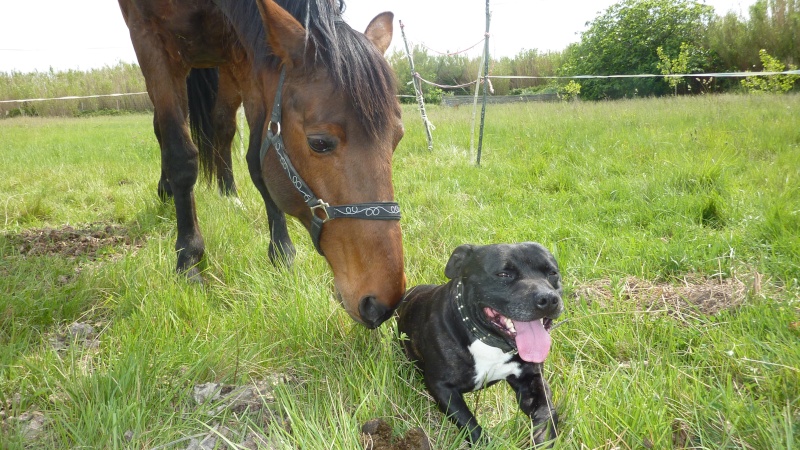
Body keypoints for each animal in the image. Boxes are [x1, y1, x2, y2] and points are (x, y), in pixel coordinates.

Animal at [117, 0, 406, 326]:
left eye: (397, 137)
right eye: (319, 143)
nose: (383, 301)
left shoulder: (245, 54)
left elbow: (257, 161)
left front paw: (282, 252)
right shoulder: (149, 38)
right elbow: (181, 157)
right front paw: (189, 258)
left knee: (223, 126)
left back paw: (229, 193)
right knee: (163, 129)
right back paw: (166, 190)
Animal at [396, 243, 564, 442]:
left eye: (552, 273)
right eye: (504, 274)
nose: (549, 299)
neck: (490, 342)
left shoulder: (532, 380)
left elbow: (547, 415)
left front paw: (542, 439)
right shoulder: (442, 386)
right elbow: (470, 425)